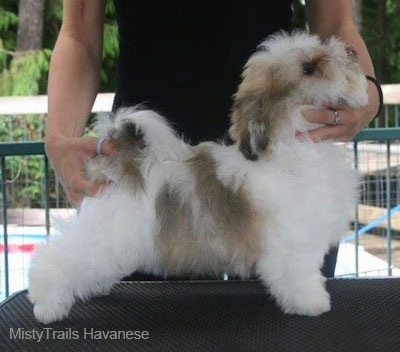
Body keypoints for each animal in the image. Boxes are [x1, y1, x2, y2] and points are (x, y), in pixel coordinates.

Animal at [28, 31, 368, 324]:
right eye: (309, 68)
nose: (349, 50)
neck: (296, 145)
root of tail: (120, 164)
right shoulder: (293, 243)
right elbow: (299, 275)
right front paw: (311, 303)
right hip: (105, 233)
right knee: (56, 259)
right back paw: (47, 305)